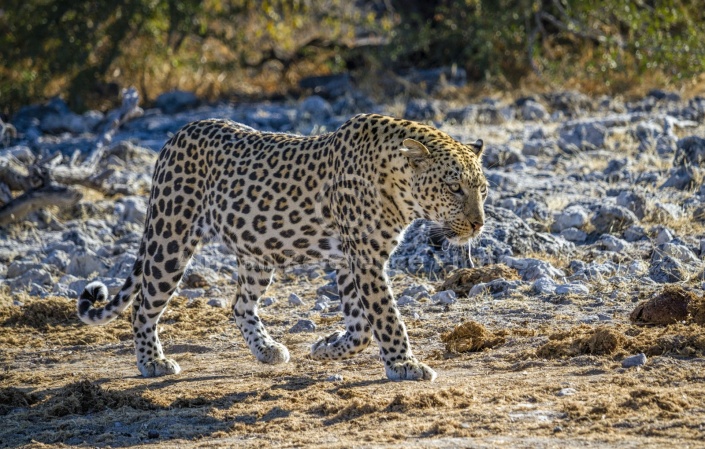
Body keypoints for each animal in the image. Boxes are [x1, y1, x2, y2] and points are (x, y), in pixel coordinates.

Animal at [75, 113, 484, 382]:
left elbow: (360, 326)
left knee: (239, 304)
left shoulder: (348, 261)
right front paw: (404, 365)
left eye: (481, 188)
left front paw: (327, 347)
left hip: (258, 253)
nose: (478, 224)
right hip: (170, 239)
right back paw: (152, 362)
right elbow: (385, 317)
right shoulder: (365, 258)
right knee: (143, 306)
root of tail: (176, 134)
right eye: (454, 188)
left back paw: (267, 350)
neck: (399, 186)